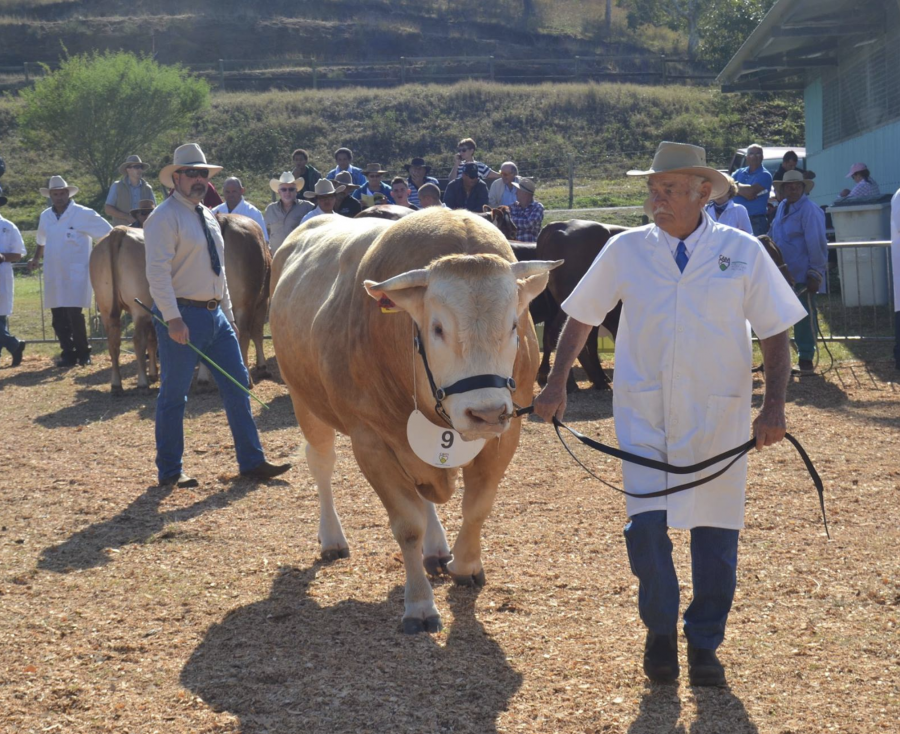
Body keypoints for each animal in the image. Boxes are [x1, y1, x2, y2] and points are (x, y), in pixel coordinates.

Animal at [270, 211, 560, 632]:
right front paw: (420, 604)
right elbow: (407, 525)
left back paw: (437, 549)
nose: (486, 412)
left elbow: (476, 507)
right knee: (321, 464)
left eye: (513, 325)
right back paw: (332, 538)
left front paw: (465, 564)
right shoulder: (370, 442)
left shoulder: (507, 433)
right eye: (437, 328)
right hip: (303, 398)